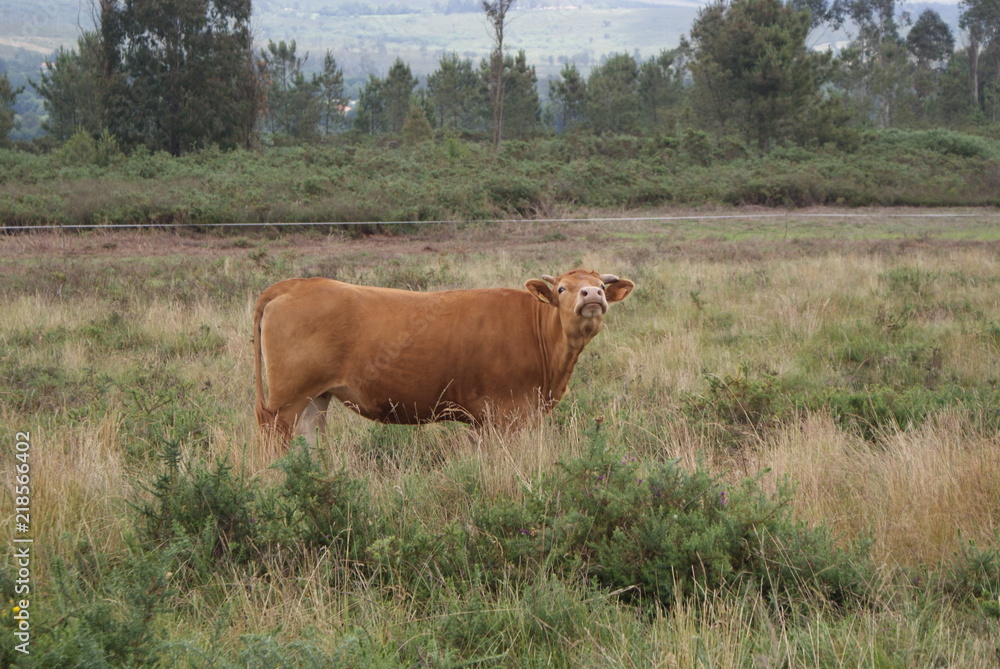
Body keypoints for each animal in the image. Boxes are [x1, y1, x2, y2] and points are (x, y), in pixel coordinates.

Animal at [254, 266, 636, 444]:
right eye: (561, 289)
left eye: (600, 286)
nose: (592, 295)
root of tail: (295, 284)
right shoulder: (509, 413)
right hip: (286, 401)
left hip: (316, 397)